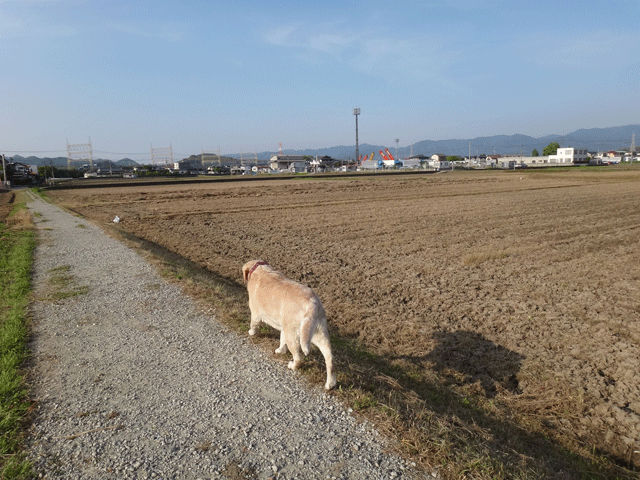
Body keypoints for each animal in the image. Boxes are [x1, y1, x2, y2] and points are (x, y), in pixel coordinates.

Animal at [242, 258, 338, 390]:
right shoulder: (284, 326)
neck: (259, 269)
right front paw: (280, 350)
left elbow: (253, 324)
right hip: (318, 333)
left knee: (299, 358)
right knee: (330, 358)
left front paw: (251, 332)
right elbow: (282, 340)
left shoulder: (255, 313)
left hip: (294, 336)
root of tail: (313, 303)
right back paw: (330, 383)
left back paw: (292, 366)